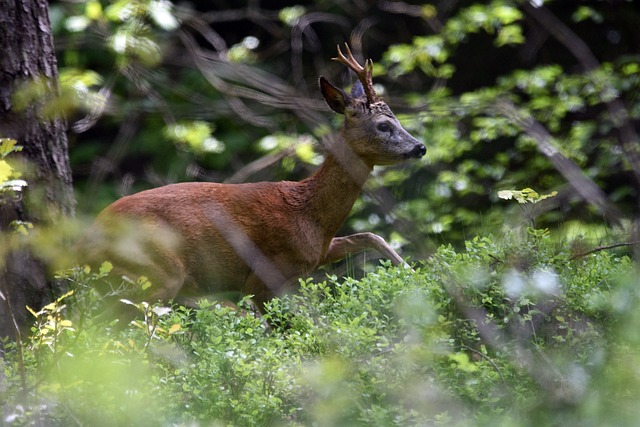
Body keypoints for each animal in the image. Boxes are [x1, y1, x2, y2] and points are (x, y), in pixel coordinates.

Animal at [86, 44, 424, 310]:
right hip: (158, 271)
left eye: (396, 119)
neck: (309, 215)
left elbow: (369, 236)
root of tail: (90, 233)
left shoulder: (318, 254)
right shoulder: (264, 276)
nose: (420, 147)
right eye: (383, 125)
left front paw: (415, 273)